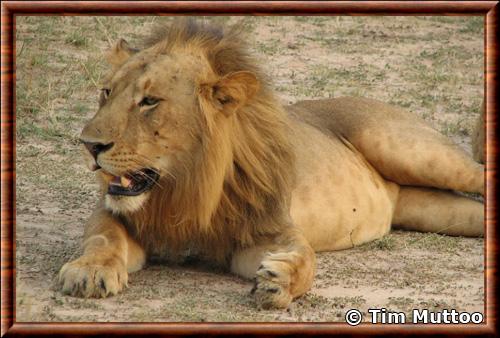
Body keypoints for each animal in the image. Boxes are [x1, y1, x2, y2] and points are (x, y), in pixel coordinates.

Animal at [58, 19, 484, 308]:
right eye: (107, 92)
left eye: (149, 101)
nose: (89, 145)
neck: (187, 187)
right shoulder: (117, 214)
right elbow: (104, 237)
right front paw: (90, 271)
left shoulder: (269, 229)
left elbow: (306, 258)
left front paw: (280, 280)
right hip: (432, 209)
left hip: (410, 149)